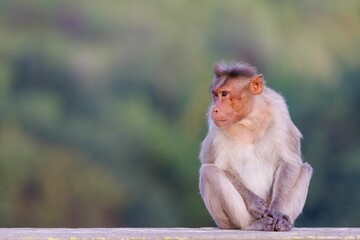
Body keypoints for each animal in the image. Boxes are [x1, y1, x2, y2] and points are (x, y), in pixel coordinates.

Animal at [200, 61, 312, 232]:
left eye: (224, 94)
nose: (215, 109)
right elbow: (218, 166)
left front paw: (277, 210)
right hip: (225, 223)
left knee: (305, 169)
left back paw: (284, 222)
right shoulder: (215, 128)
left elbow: (290, 162)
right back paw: (252, 224)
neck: (249, 120)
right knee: (208, 172)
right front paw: (253, 202)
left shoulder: (280, 114)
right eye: (215, 95)